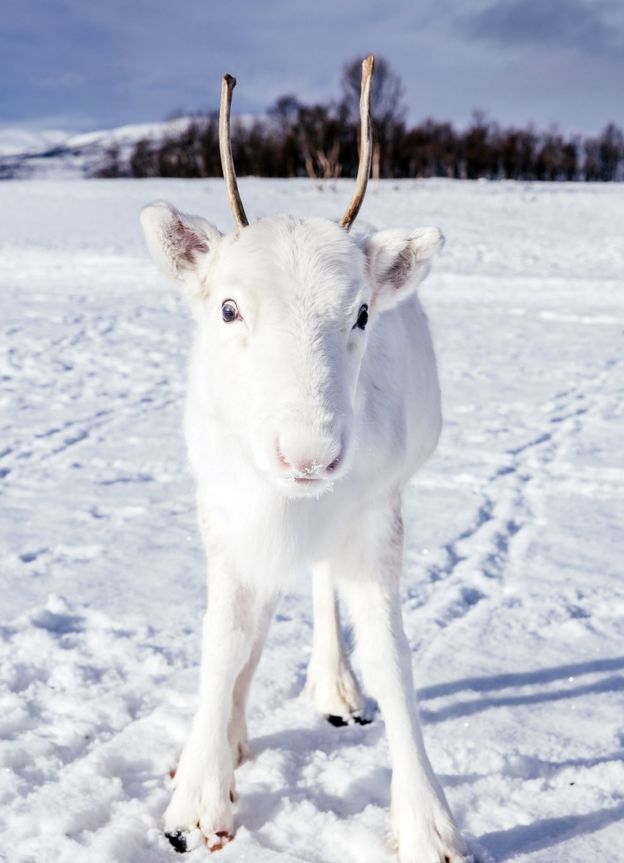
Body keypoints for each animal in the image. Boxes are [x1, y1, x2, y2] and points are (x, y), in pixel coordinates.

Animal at [140, 57, 468, 860]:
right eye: (228, 307)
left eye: (362, 312)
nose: (310, 455)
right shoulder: (226, 513)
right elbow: (225, 637)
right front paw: (199, 793)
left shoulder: (377, 515)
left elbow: (390, 654)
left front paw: (427, 821)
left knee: (320, 589)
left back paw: (333, 687)